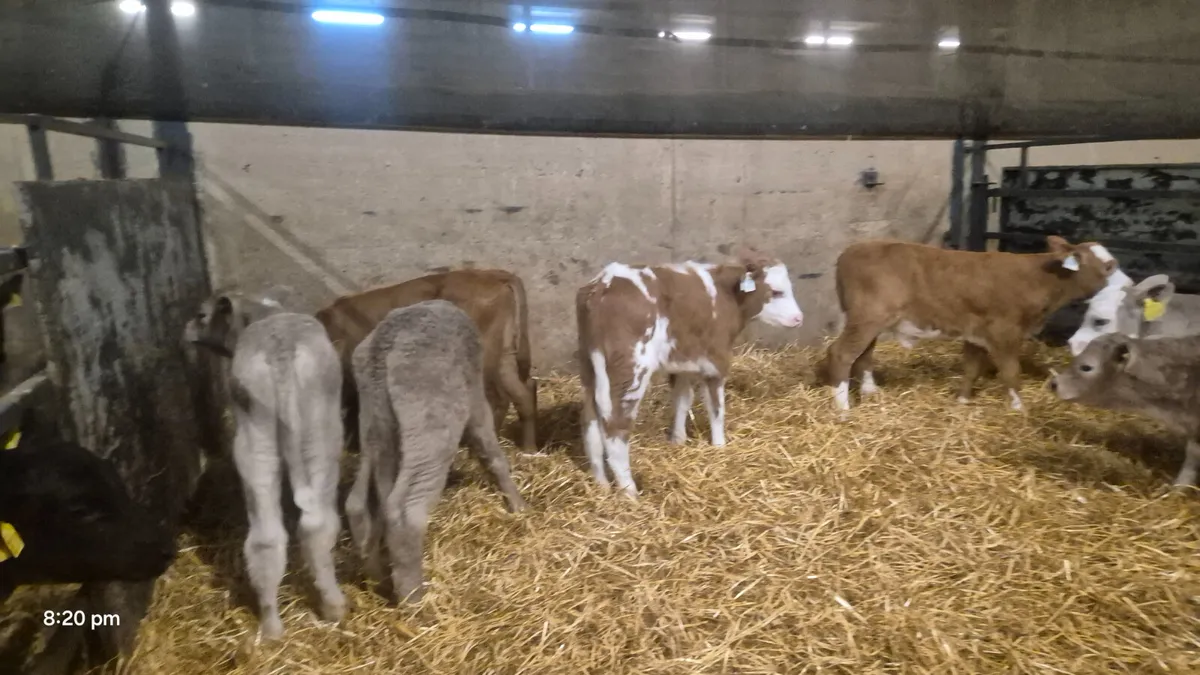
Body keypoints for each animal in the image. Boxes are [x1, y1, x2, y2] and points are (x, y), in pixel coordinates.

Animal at [184, 290, 346, 640]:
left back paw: (272, 627)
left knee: (266, 539)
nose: (184, 332)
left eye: (201, 315)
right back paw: (332, 607)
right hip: (319, 439)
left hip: (256, 446)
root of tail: (279, 354)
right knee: (315, 526)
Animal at [315, 269, 537, 452]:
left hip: (484, 356)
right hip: (504, 354)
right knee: (524, 391)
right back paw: (528, 449)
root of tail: (492, 275)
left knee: (497, 398)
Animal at [343, 300, 527, 604]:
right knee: (405, 509)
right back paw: (414, 599)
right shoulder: (475, 397)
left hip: (375, 424)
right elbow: (490, 451)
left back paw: (378, 578)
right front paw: (518, 506)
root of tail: (382, 347)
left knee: (360, 503)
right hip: (431, 422)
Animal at [575, 249, 805, 500]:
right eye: (776, 292)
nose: (799, 318)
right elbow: (716, 409)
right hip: (631, 368)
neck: (726, 296)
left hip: (590, 366)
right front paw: (720, 447)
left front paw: (678, 441)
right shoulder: (716, 361)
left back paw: (601, 486)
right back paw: (630, 493)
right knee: (615, 427)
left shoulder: (683, 362)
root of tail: (603, 284)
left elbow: (682, 400)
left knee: (590, 422)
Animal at [819, 236, 1120, 412]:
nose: (1126, 284)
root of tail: (855, 248)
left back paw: (870, 391)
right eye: (1108, 267)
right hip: (867, 317)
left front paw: (963, 400)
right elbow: (1011, 372)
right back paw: (843, 409)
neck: (1038, 278)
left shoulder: (976, 332)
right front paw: (1019, 408)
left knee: (864, 354)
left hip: (871, 320)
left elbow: (972, 367)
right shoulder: (1005, 331)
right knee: (842, 353)